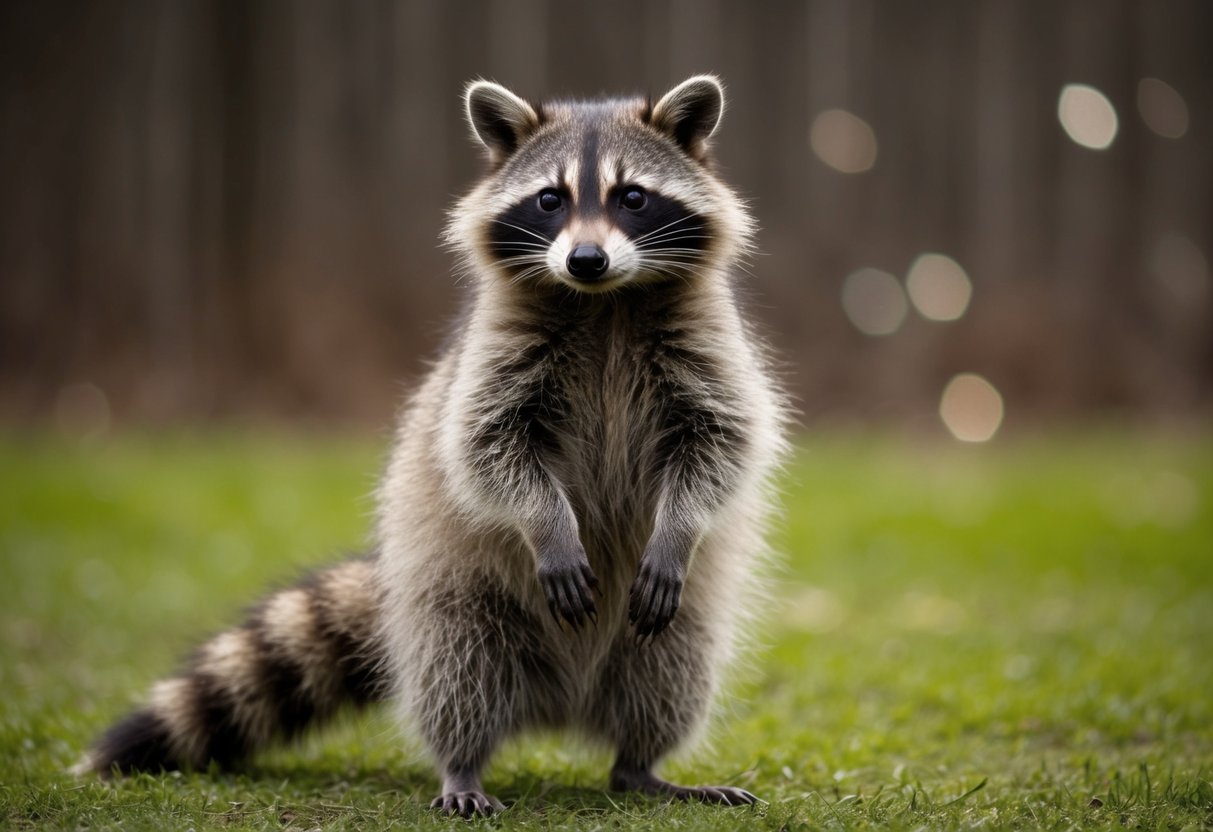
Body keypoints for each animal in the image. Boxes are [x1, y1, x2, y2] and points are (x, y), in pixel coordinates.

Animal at [80, 75, 789, 817]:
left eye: (632, 197)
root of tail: (560, 705)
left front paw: (679, 526)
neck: (604, 300)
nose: (586, 259)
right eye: (550, 200)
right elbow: (484, 447)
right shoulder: (491, 355)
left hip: (670, 623)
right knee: (458, 676)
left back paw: (641, 764)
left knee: (669, 674)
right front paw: (548, 523)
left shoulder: (708, 345)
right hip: (451, 598)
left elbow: (722, 442)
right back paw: (463, 764)